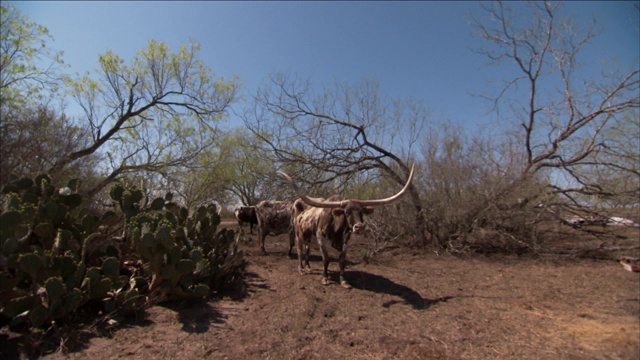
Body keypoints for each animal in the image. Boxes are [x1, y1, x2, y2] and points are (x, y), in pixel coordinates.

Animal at [280, 165, 416, 288]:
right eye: (347, 212)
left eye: (361, 212)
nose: (359, 227)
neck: (337, 231)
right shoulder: (321, 241)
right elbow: (326, 260)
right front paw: (325, 278)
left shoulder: (345, 243)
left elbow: (342, 262)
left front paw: (343, 281)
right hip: (298, 236)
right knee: (300, 251)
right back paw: (301, 269)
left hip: (308, 238)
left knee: (307, 249)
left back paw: (308, 267)